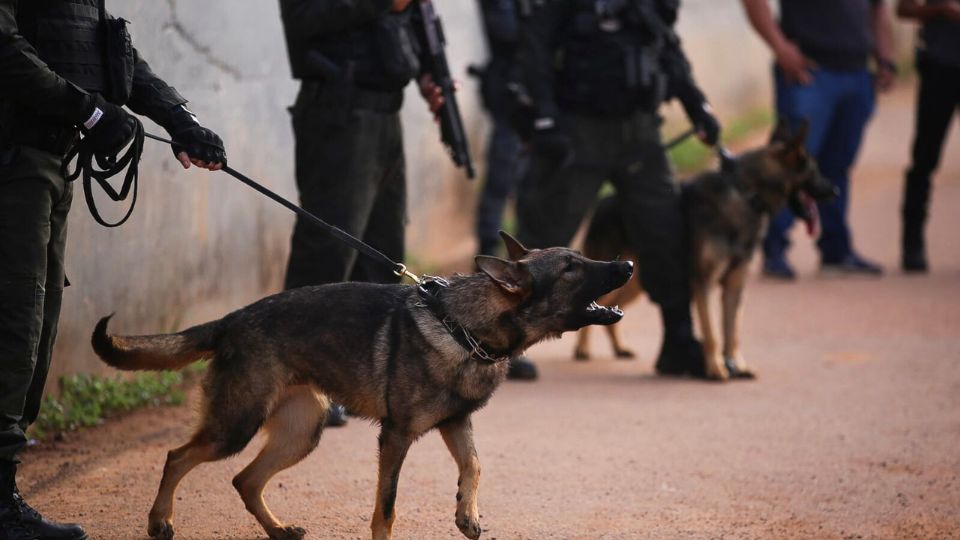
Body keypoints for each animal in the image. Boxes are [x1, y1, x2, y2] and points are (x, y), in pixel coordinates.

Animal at [88, 234, 632, 540]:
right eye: (571, 268)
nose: (626, 265)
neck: (464, 324)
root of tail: (233, 319)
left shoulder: (456, 424)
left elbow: (475, 466)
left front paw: (467, 514)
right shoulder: (395, 437)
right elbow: (386, 509)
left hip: (301, 432)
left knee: (245, 480)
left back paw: (279, 530)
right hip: (235, 426)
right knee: (177, 457)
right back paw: (159, 522)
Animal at [572, 120, 836, 378]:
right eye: (814, 171)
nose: (836, 190)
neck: (745, 193)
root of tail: (602, 202)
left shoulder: (735, 285)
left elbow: (733, 331)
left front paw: (738, 366)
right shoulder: (704, 283)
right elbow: (713, 333)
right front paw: (717, 369)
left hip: (634, 284)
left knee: (613, 309)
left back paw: (620, 347)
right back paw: (582, 349)